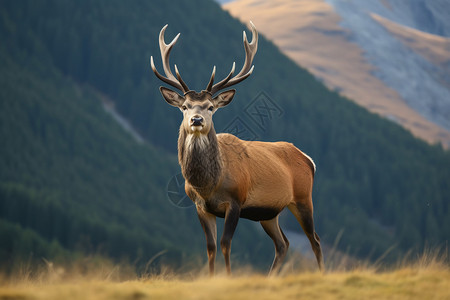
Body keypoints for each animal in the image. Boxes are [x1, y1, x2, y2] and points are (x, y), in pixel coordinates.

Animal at [151, 22, 324, 276]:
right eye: (184, 106)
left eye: (210, 107)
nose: (196, 120)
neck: (208, 185)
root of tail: (308, 159)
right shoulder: (201, 207)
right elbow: (211, 247)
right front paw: (212, 278)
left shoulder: (236, 201)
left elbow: (225, 244)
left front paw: (228, 277)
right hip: (269, 212)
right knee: (283, 243)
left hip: (303, 198)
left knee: (315, 240)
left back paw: (322, 273)